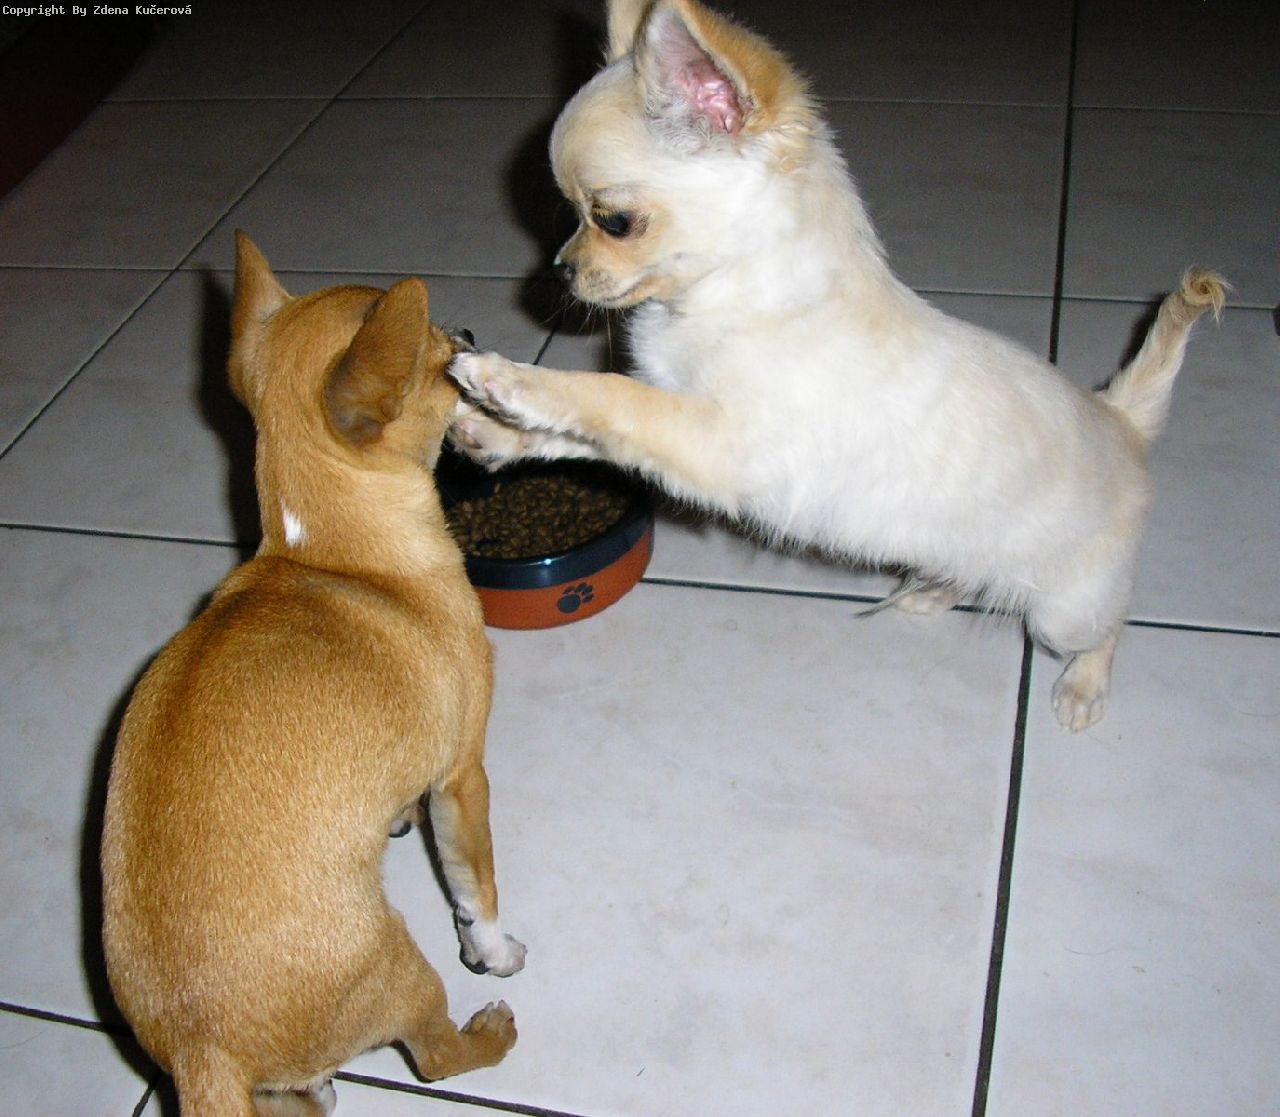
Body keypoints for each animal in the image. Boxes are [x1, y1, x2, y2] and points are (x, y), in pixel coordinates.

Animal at [101, 233, 525, 1117]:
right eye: (443, 361)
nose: (469, 332)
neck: (328, 551)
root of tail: (199, 1048)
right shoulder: (462, 777)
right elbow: (476, 889)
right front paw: (496, 947)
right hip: (399, 967)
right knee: (435, 1054)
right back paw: (488, 1032)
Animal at [449, 0, 1225, 731]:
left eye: (611, 220)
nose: (560, 269)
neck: (731, 296)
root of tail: (1120, 420)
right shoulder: (675, 416)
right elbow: (590, 433)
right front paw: (496, 431)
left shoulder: (713, 440)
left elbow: (608, 396)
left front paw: (509, 378)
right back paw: (933, 592)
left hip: (1065, 608)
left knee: (1111, 624)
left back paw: (1085, 685)